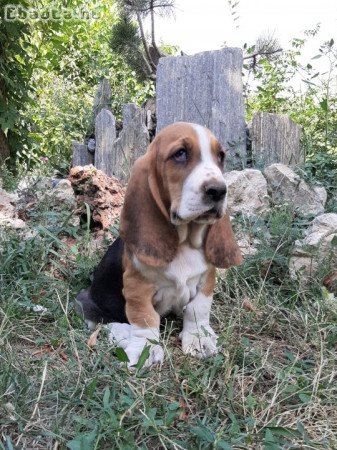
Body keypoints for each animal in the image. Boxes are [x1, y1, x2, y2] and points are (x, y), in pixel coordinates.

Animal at [75, 122, 242, 366]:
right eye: (180, 154)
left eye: (220, 156)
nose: (219, 190)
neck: (184, 242)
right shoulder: (137, 285)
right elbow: (145, 318)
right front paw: (145, 350)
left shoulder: (206, 279)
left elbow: (198, 309)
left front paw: (199, 339)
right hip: (89, 302)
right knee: (105, 324)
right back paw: (124, 334)